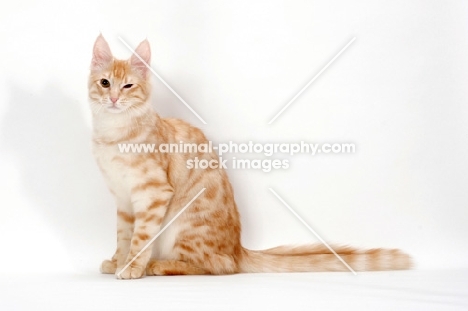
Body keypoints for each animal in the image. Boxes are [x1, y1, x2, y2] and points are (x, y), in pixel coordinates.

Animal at [88, 34, 410, 280]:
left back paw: (159, 265)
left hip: (184, 227)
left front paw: (131, 266)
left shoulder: (153, 194)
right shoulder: (123, 200)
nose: (114, 98)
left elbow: (140, 238)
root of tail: (238, 248)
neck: (113, 134)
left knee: (217, 266)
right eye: (105, 83)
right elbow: (124, 236)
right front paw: (118, 261)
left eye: (128, 86)